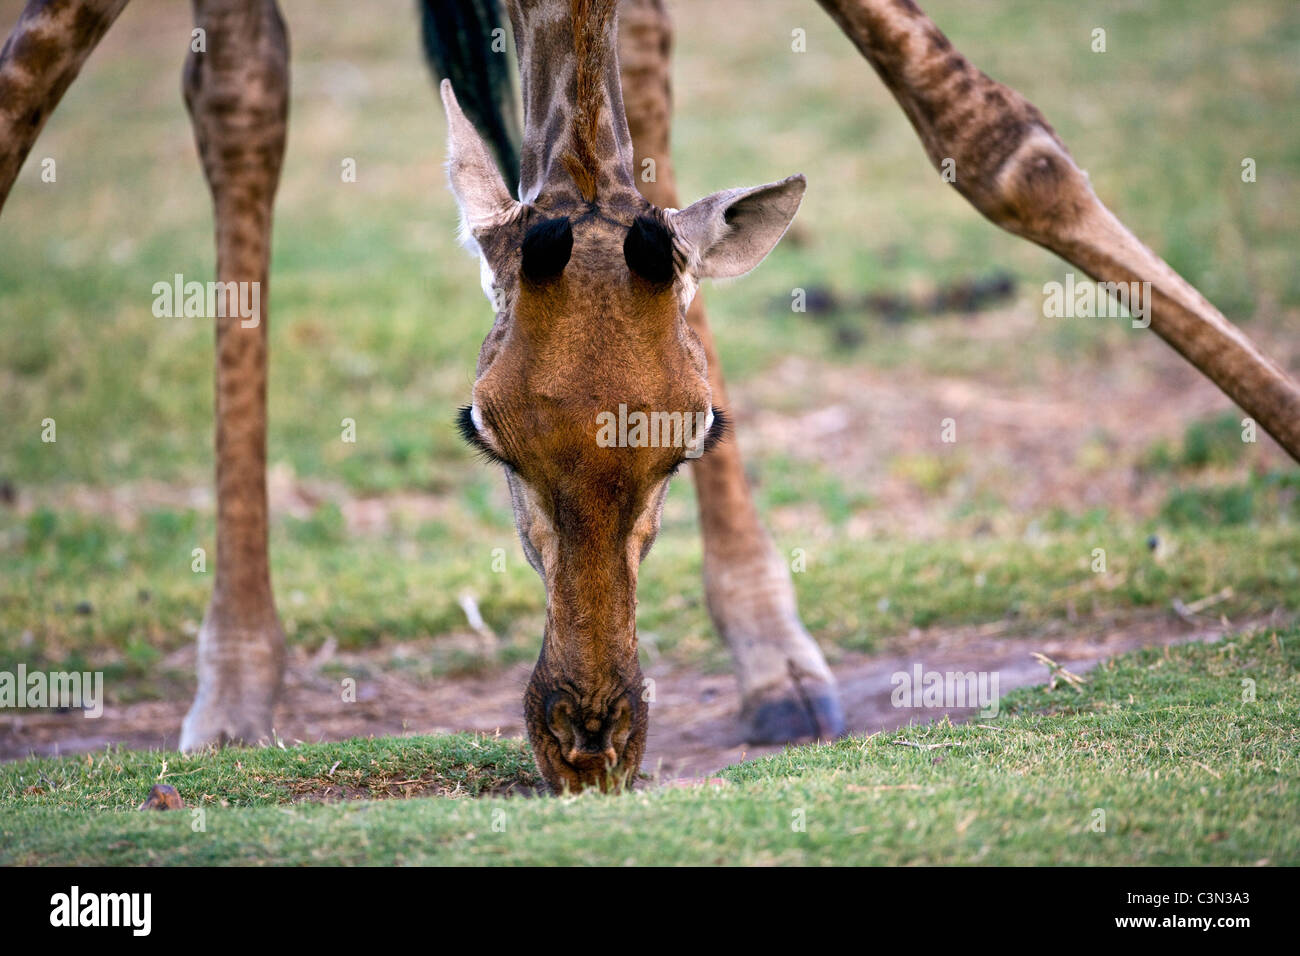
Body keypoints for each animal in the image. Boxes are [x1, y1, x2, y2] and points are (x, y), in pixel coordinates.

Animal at [0, 0, 1294, 790]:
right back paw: (235, 683)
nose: (589, 745)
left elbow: (998, 140)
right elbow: (28, 109)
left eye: (692, 436)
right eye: (482, 434)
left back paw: (775, 656)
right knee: (240, 87)